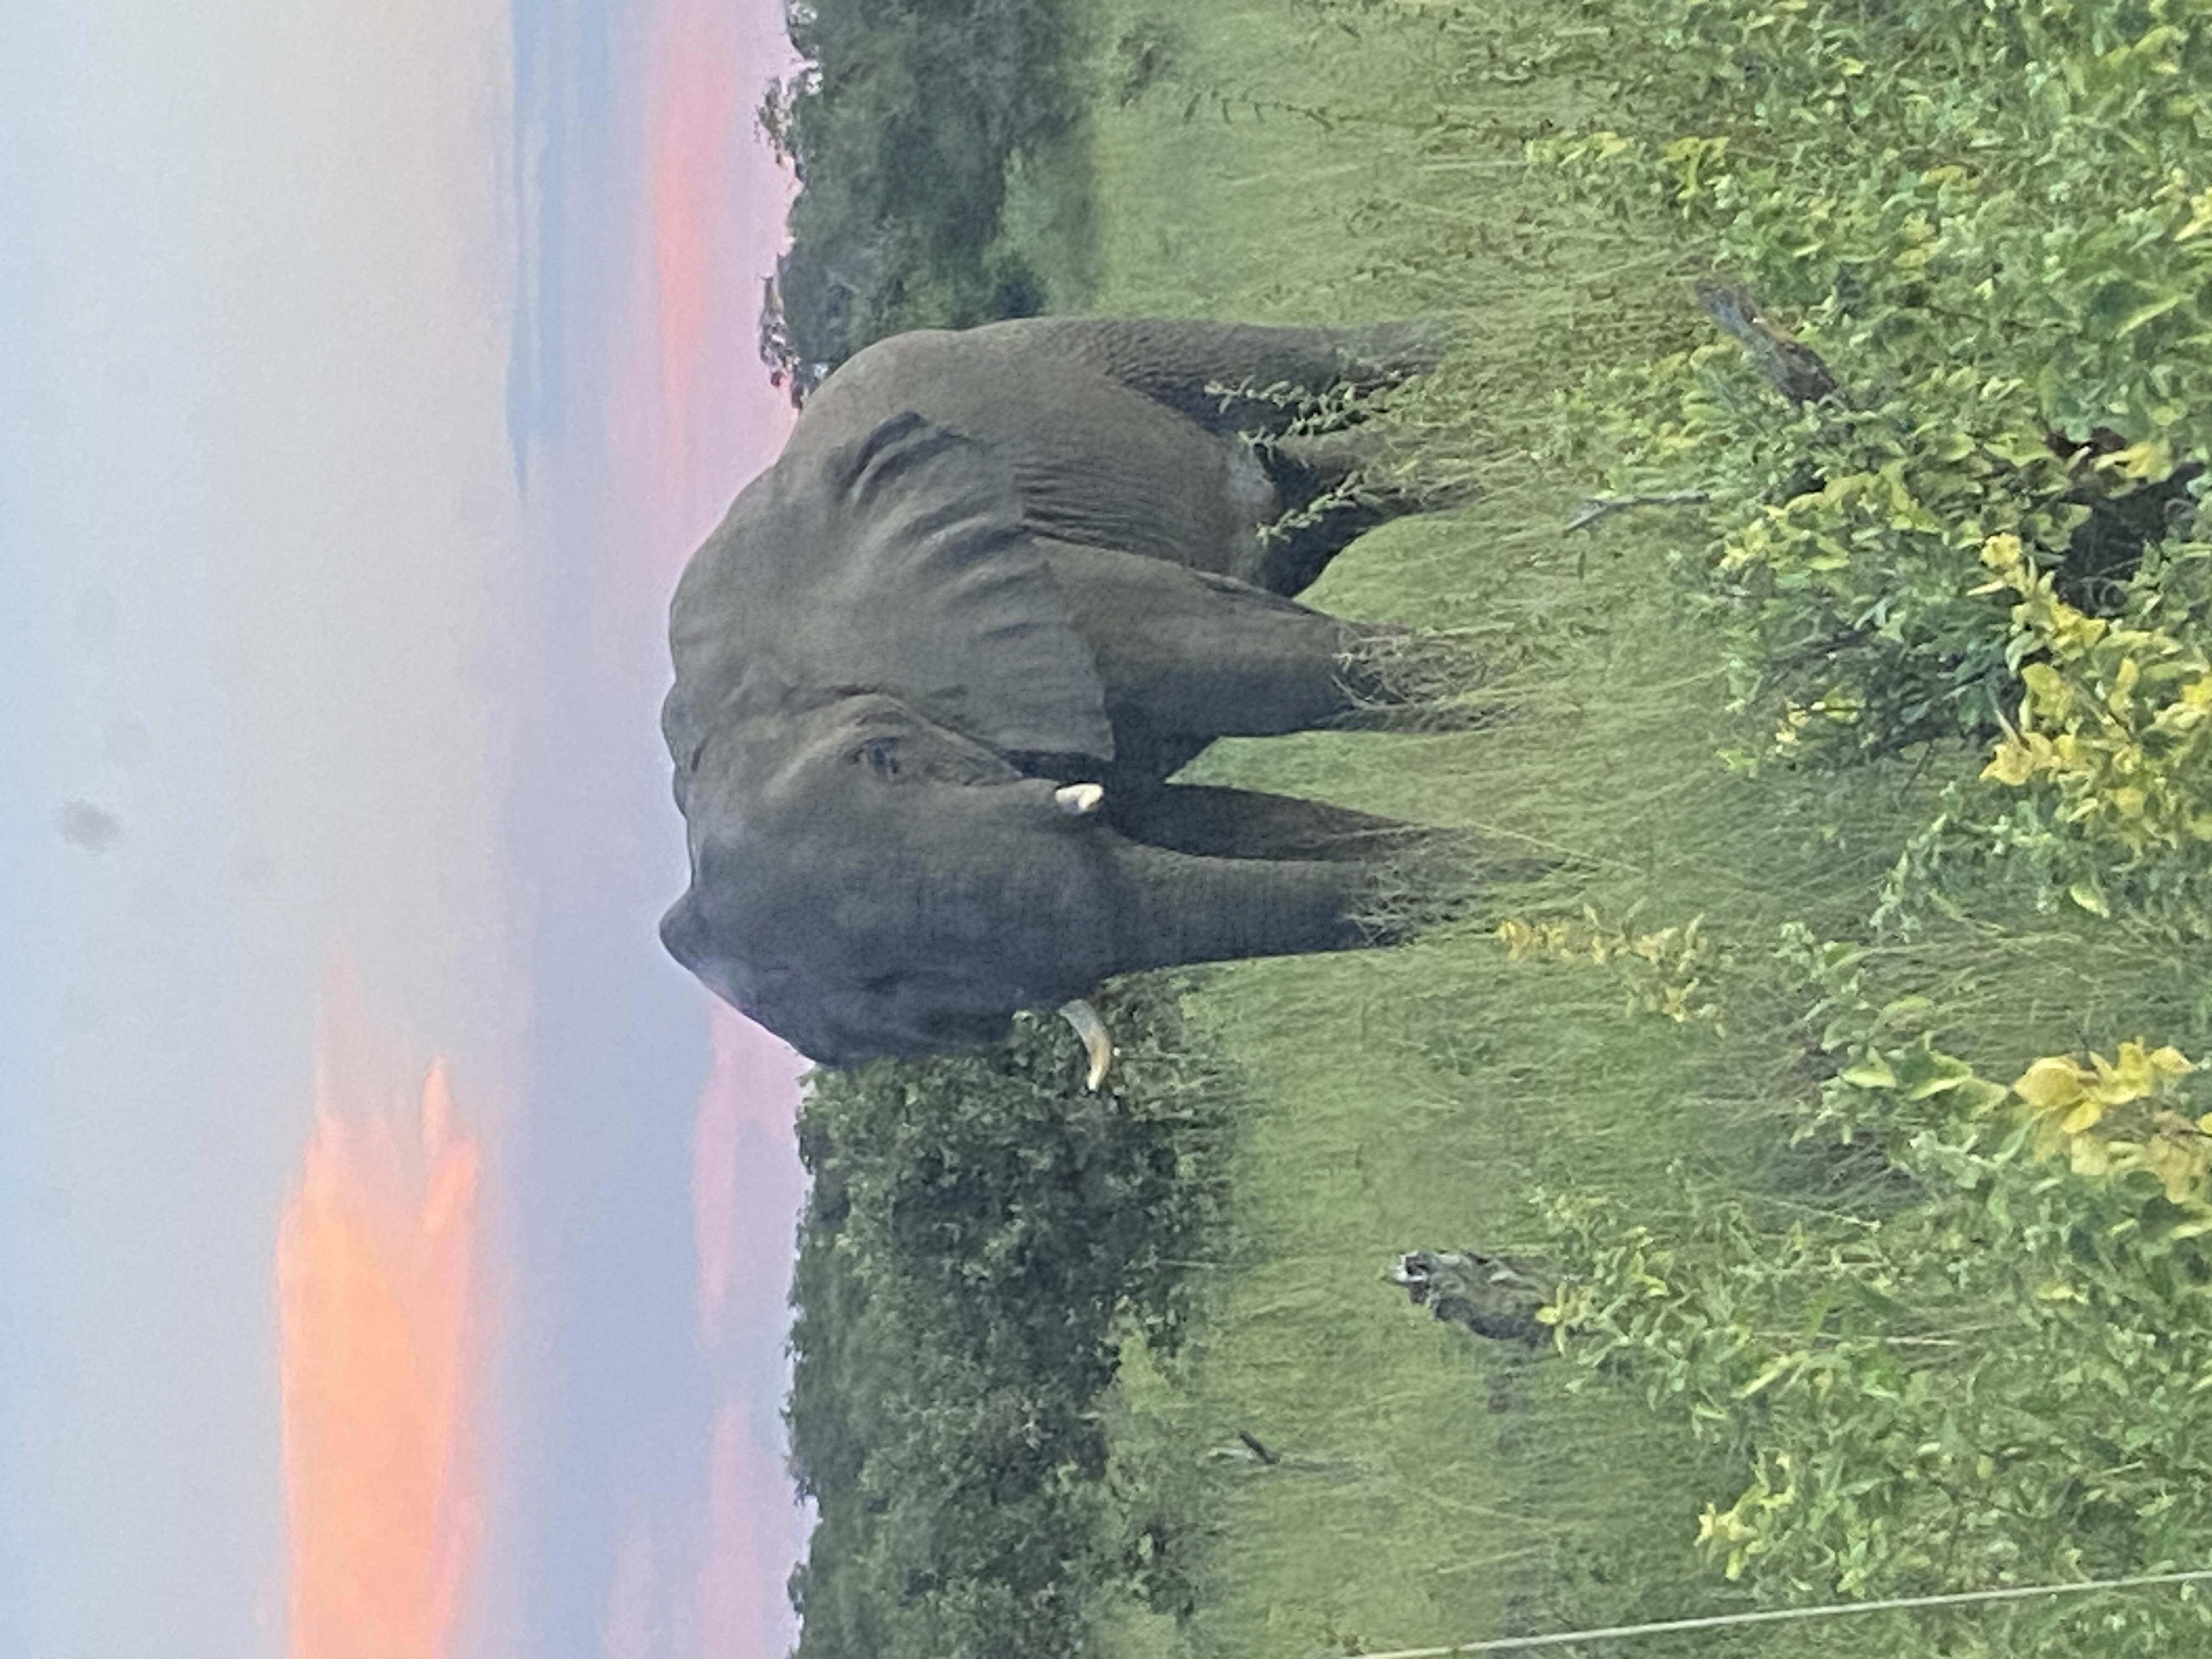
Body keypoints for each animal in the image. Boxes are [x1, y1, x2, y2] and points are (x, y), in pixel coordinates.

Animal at [658, 315, 1479, 1074]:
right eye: (907, 997)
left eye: (884, 757)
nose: (1504, 874)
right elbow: (1232, 825)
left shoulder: (1053, 595)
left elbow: (1257, 674)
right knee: (1321, 487)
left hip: (1059, 347)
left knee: (1301, 374)